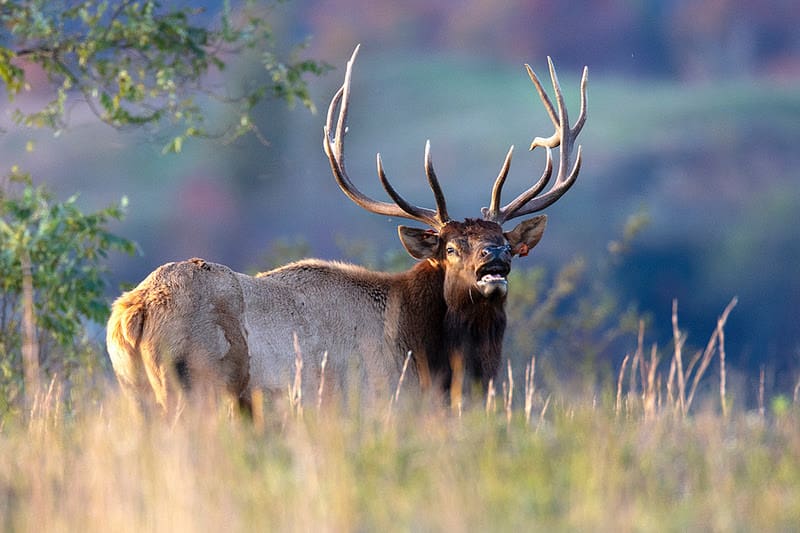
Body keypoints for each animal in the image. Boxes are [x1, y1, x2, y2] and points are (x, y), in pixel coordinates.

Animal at [106, 46, 587, 416]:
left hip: (137, 394)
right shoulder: (373, 403)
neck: (431, 357)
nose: (494, 259)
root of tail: (132, 311)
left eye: (505, 241)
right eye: (451, 248)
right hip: (195, 386)